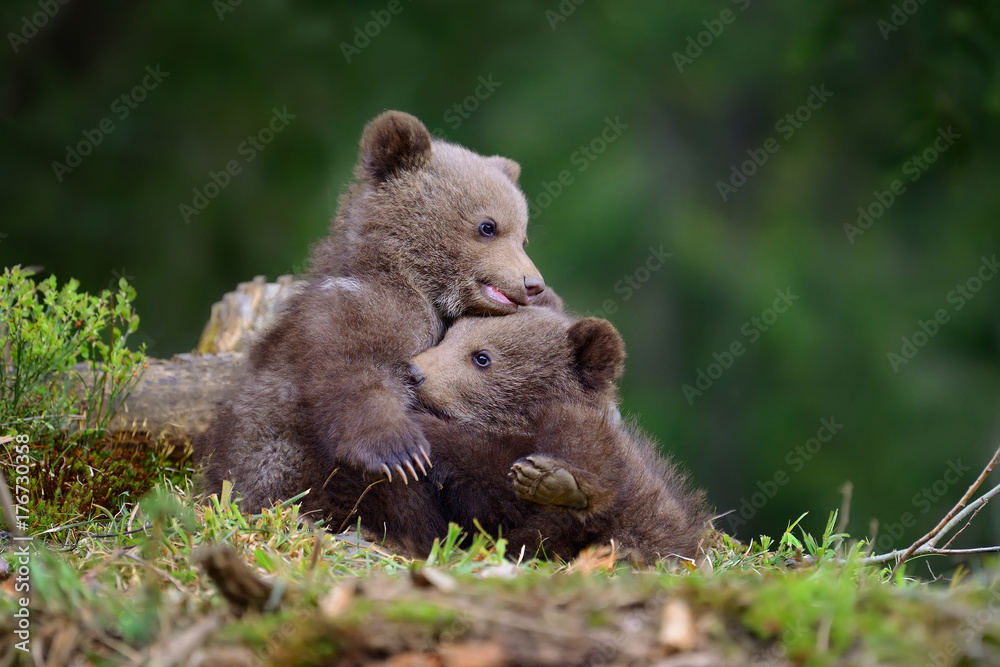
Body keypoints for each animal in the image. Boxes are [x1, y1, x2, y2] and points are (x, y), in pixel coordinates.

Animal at [194, 111, 548, 556]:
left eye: (524, 235)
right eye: (488, 226)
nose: (533, 283)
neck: (415, 282)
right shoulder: (354, 316)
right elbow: (354, 376)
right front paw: (400, 451)